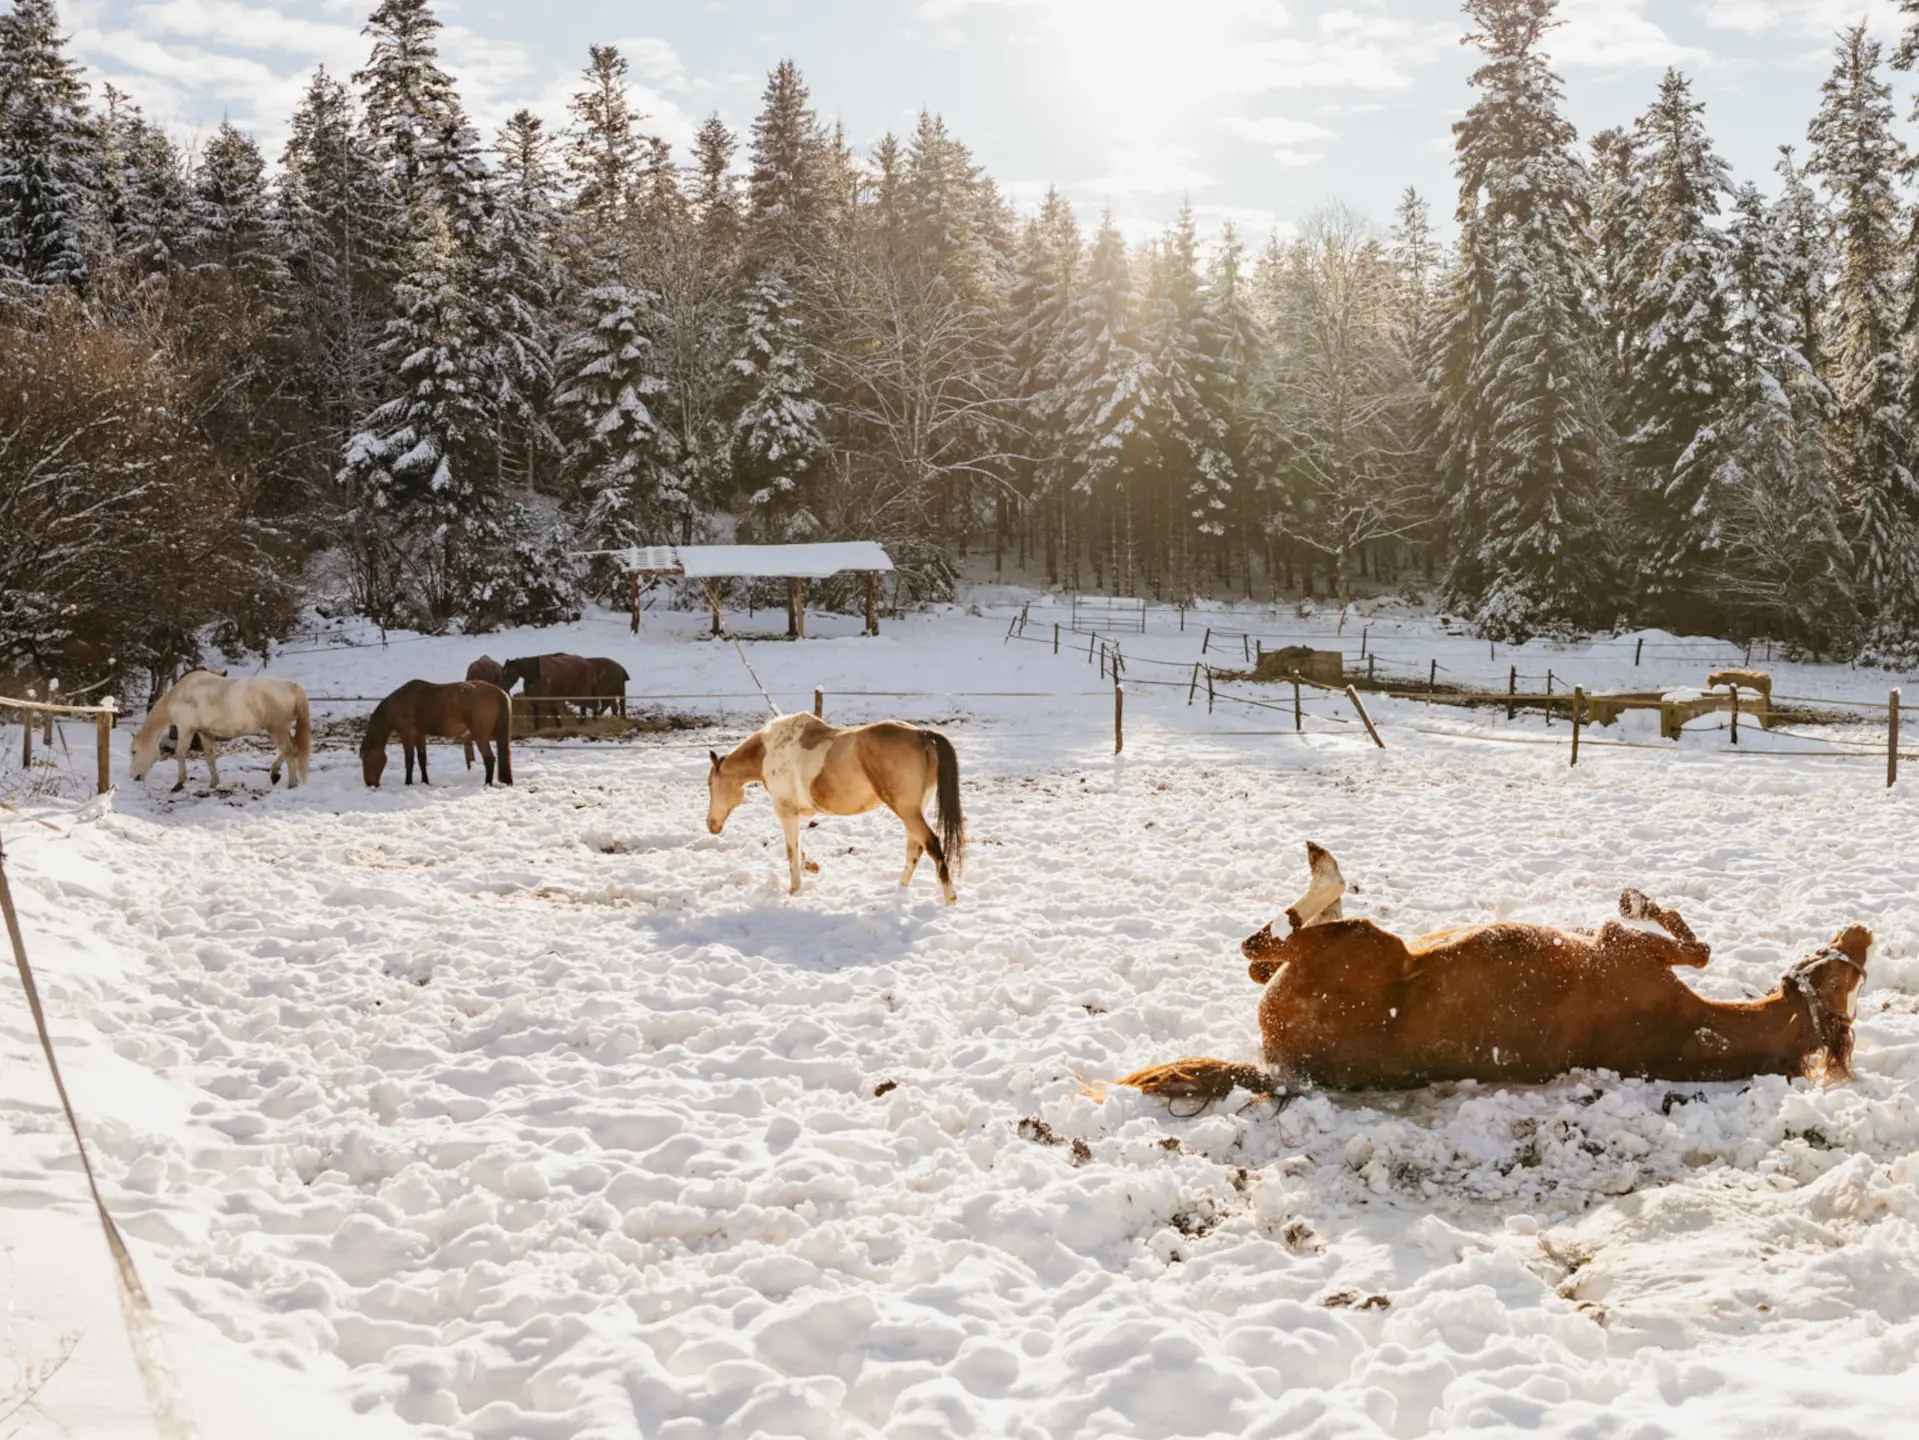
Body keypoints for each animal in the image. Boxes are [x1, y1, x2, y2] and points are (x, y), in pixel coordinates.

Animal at [130, 671, 311, 793]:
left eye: (134, 751)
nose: (134, 777)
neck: (181, 694)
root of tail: (292, 687)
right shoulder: (204, 732)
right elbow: (210, 757)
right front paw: (213, 783)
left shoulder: (186, 729)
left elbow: (180, 753)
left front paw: (179, 784)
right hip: (282, 730)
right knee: (292, 750)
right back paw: (275, 774)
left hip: (277, 729)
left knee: (289, 751)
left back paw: (291, 783)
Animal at [361, 680, 513, 788]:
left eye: (365, 759)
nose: (370, 784)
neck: (399, 703)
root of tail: (499, 692)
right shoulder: (420, 734)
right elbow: (422, 759)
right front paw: (425, 782)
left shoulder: (407, 734)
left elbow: (409, 760)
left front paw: (408, 783)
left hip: (480, 735)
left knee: (489, 759)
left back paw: (487, 783)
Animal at [706, 713, 965, 903]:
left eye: (710, 784)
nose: (711, 825)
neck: (769, 751)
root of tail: (922, 735)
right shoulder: (795, 814)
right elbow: (798, 847)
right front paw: (811, 867)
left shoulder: (785, 811)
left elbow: (790, 851)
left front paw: (794, 890)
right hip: (913, 810)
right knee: (915, 849)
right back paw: (899, 891)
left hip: (907, 810)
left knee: (931, 844)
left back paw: (950, 899)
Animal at [1115, 842, 1871, 1102]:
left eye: (1846, 979)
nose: (1860, 933)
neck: (1692, 1030)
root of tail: (1286, 1067)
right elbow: (1694, 940)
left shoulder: (1625, 949)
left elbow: (1693, 943)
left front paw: (1636, 898)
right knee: (1264, 948)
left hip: (1364, 944)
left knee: (1274, 936)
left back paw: (1321, 869)